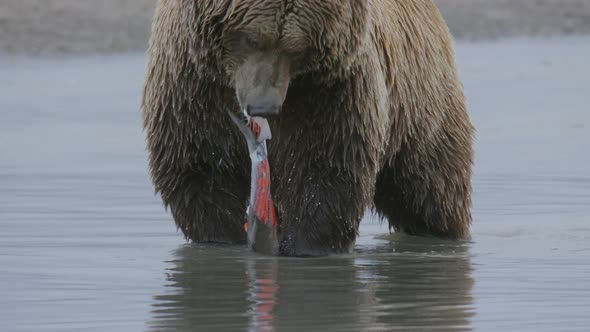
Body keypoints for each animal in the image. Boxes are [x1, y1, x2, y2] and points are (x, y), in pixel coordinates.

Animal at [142, 0, 476, 256]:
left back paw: (443, 233)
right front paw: (224, 239)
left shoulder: (331, 90)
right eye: (251, 39)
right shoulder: (192, 87)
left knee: (430, 190)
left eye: (295, 47)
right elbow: (201, 168)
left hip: (422, 104)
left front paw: (305, 245)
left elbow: (324, 171)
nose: (264, 107)